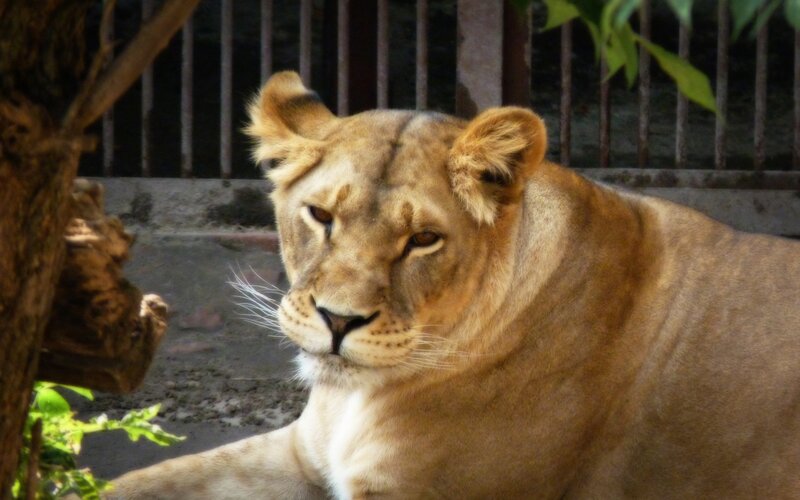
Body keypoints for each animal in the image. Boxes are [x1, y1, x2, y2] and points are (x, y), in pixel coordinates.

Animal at [108, 71, 800, 499]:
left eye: (423, 239)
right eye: (321, 215)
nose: (338, 321)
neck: (355, 400)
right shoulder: (300, 455)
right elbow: (137, 481)